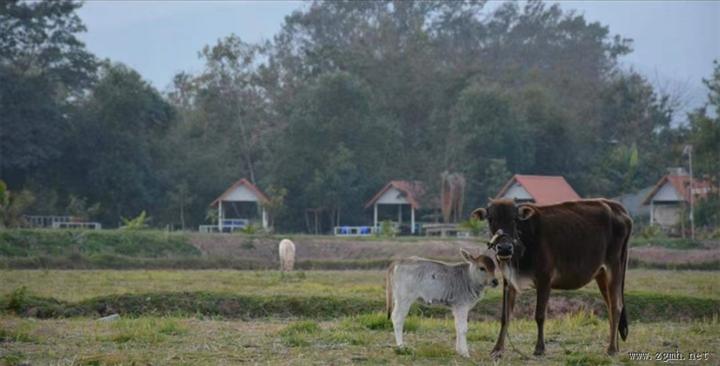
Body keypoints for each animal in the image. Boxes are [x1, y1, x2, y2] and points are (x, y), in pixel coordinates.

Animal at [476, 199, 632, 358]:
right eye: (491, 219)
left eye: (514, 219)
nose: (504, 248)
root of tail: (615, 205)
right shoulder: (508, 281)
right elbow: (505, 316)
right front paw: (497, 349)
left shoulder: (545, 278)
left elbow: (539, 315)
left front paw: (540, 348)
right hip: (601, 274)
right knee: (611, 306)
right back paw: (616, 347)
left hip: (614, 266)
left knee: (616, 306)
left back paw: (611, 348)